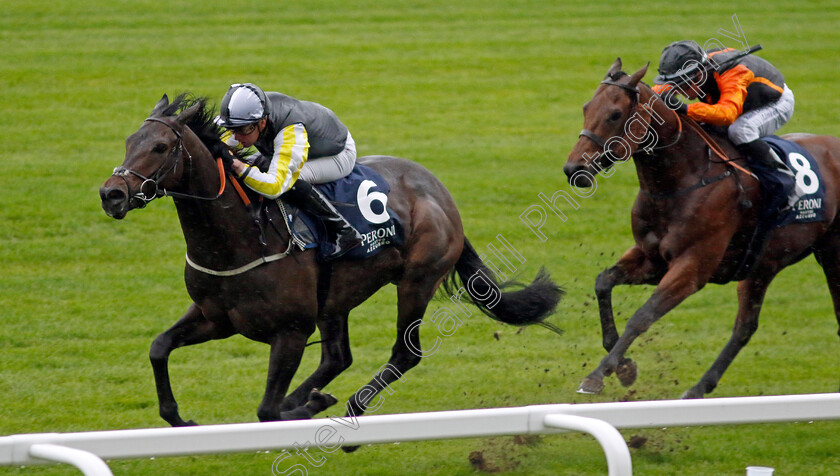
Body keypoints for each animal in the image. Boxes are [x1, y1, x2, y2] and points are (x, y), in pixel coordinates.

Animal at [100, 94, 564, 428]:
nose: (111, 194)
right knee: (338, 356)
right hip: (336, 297)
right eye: (128, 142)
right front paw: (180, 418)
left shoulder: (290, 330)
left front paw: (301, 407)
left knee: (404, 354)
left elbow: (267, 410)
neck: (241, 237)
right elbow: (159, 348)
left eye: (160, 146)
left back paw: (347, 407)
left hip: (417, 280)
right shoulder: (216, 317)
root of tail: (441, 194)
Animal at [564, 59, 840, 400]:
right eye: (586, 107)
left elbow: (642, 317)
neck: (682, 180)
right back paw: (698, 387)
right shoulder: (652, 258)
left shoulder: (693, 267)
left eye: (615, 114)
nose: (573, 169)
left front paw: (598, 374)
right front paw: (624, 367)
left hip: (831, 252)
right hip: (762, 266)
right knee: (745, 327)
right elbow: (603, 282)